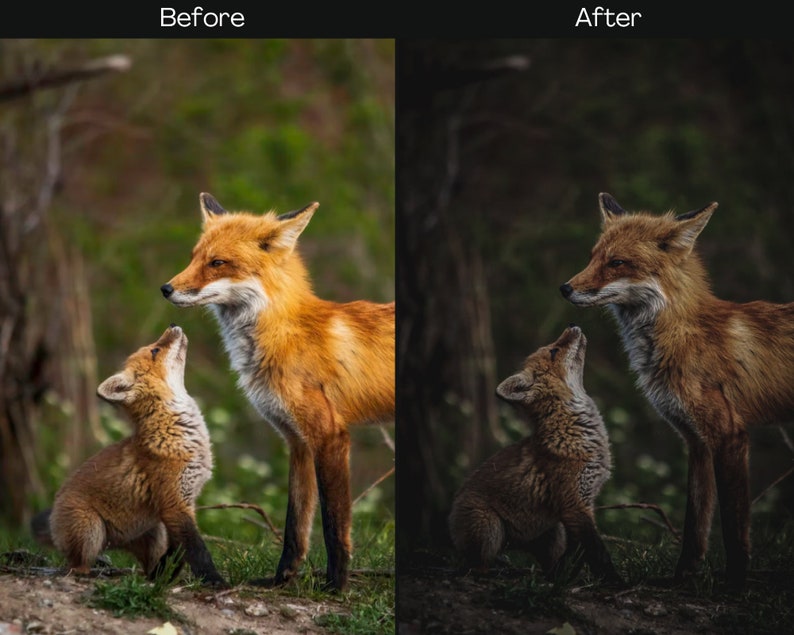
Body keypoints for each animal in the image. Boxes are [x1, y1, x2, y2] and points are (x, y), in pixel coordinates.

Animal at [31, 325, 226, 587]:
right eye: (155, 350)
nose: (173, 325)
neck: (179, 432)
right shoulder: (174, 505)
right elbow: (197, 550)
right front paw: (215, 581)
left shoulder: (183, 504)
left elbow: (178, 552)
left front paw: (166, 577)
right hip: (91, 530)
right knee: (76, 566)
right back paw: (89, 573)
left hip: (154, 534)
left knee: (148, 565)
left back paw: (152, 577)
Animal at [160, 193, 395, 591]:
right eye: (193, 257)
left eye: (217, 263)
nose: (166, 288)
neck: (285, 335)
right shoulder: (297, 441)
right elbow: (295, 525)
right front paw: (281, 580)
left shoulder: (330, 435)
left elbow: (333, 524)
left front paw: (336, 586)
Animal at [448, 326, 621, 585]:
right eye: (554, 351)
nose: (573, 326)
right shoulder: (575, 506)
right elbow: (598, 553)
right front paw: (616, 581)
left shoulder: (580, 506)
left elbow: (580, 553)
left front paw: (574, 576)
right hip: (490, 529)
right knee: (475, 566)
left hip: (552, 533)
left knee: (549, 565)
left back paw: (553, 578)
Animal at [560, 192, 794, 589]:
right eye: (593, 257)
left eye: (617, 263)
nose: (565, 288)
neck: (681, 335)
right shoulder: (695, 440)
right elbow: (695, 522)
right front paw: (682, 578)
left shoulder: (729, 434)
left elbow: (733, 524)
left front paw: (734, 584)